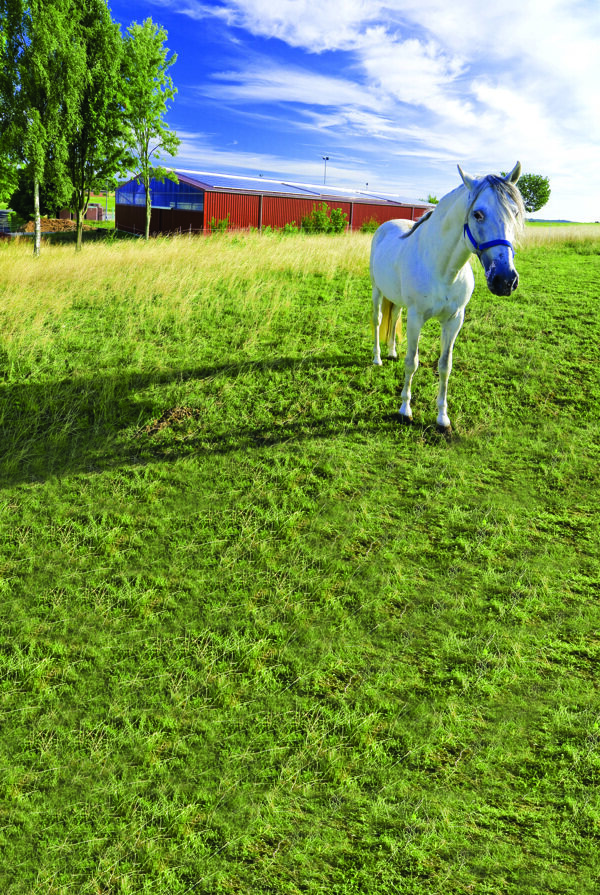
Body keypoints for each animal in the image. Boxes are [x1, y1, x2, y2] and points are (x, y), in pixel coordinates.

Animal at [372, 163, 524, 432]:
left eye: (515, 213)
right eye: (478, 214)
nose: (505, 280)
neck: (442, 268)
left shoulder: (454, 320)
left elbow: (445, 366)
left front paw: (442, 418)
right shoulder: (416, 318)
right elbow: (412, 362)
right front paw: (405, 410)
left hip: (396, 299)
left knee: (394, 317)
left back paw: (391, 352)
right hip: (377, 291)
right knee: (379, 320)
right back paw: (378, 358)